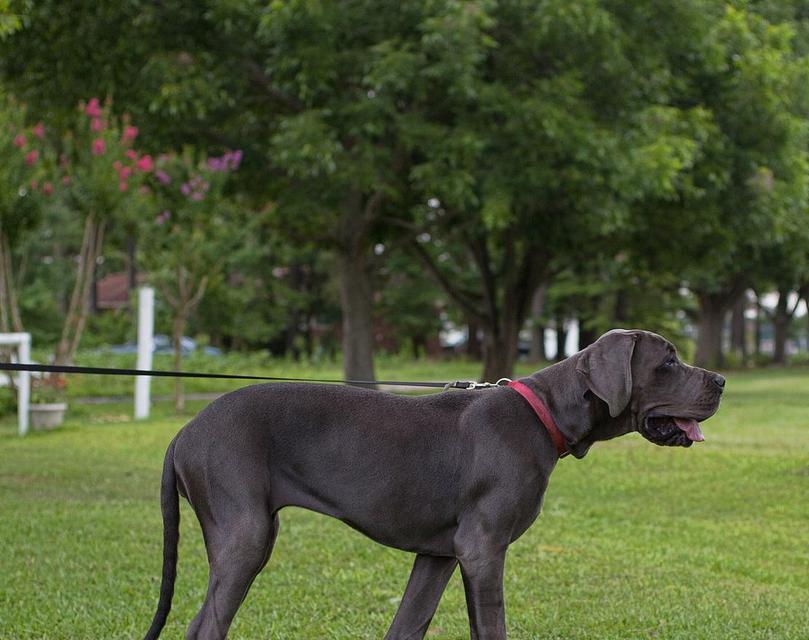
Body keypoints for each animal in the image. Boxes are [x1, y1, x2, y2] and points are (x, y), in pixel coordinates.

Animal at [142, 330, 724, 640]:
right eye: (668, 361)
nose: (720, 381)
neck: (543, 414)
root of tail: (181, 435)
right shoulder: (483, 549)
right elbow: (491, 629)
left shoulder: (440, 554)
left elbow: (407, 625)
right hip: (245, 536)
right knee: (205, 626)